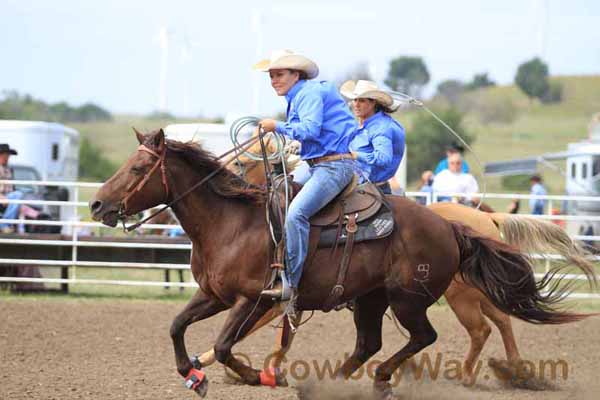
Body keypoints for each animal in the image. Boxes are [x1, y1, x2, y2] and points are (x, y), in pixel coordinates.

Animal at [90, 130, 592, 398]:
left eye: (138, 169)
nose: (96, 205)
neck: (233, 222)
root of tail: (450, 226)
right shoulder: (213, 294)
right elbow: (177, 326)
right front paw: (193, 372)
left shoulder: (255, 298)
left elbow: (227, 344)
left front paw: (256, 375)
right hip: (371, 299)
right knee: (371, 343)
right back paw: (328, 383)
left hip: (410, 299)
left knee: (428, 336)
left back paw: (381, 380)